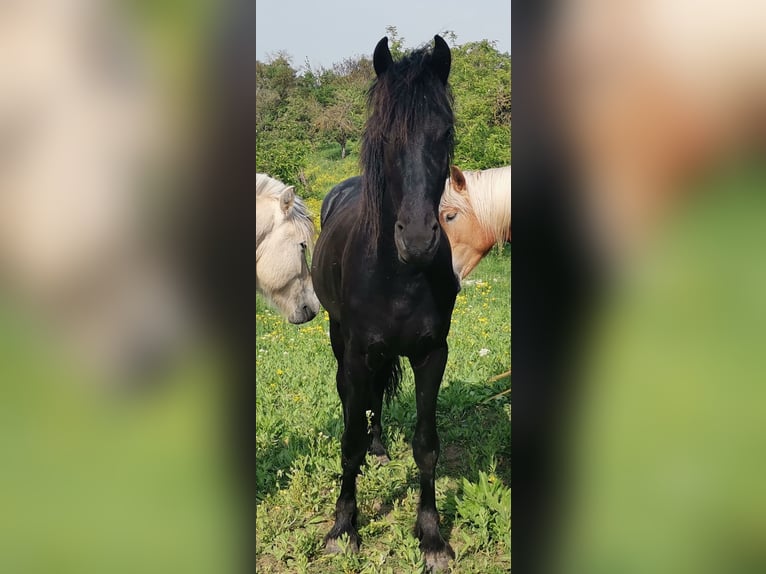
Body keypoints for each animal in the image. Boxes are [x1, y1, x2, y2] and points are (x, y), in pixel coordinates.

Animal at [312, 36, 462, 572]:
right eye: (384, 136)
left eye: (445, 131)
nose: (417, 240)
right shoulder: (358, 353)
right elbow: (349, 440)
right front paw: (343, 528)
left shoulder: (431, 353)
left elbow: (427, 445)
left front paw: (432, 537)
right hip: (341, 343)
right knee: (356, 400)